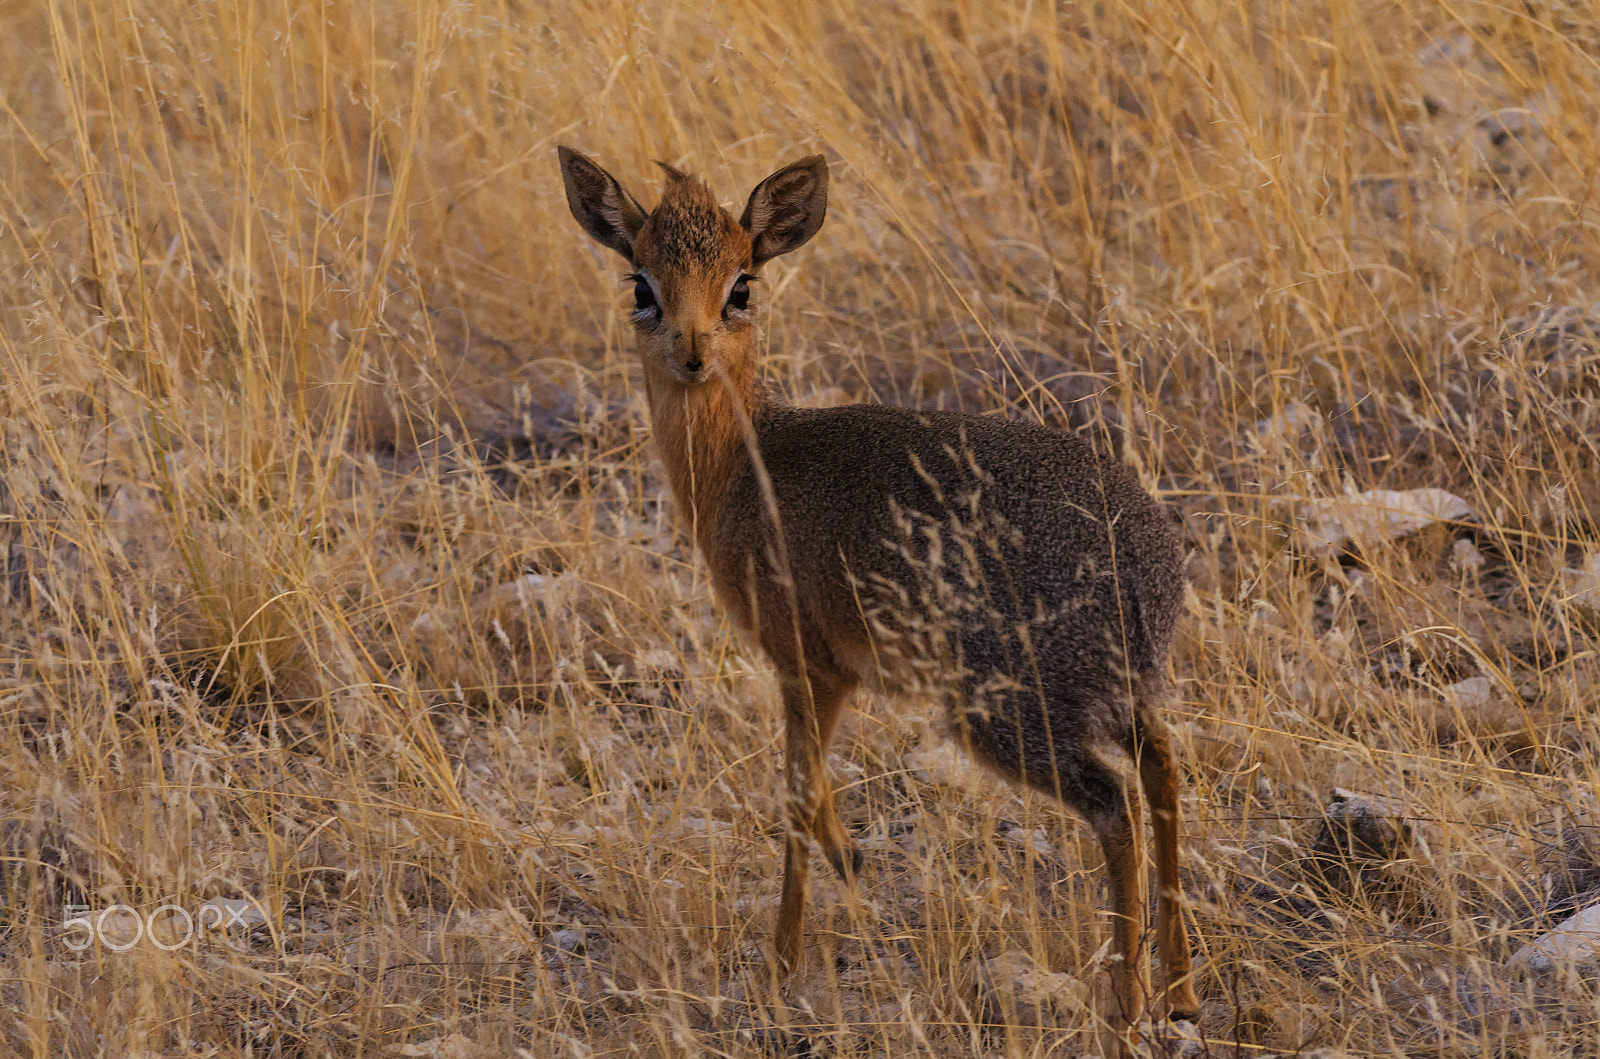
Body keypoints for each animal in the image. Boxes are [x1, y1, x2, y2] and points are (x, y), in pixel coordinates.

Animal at [563, 145, 1203, 1043]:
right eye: (641, 284)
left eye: (742, 284)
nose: (691, 352)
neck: (745, 465)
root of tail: (1142, 570)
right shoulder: (832, 675)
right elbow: (819, 797)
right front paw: (855, 875)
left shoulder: (807, 664)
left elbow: (797, 796)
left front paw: (780, 967)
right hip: (1128, 696)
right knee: (1165, 773)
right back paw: (1180, 989)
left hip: (1007, 713)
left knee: (1115, 807)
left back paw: (1126, 1004)